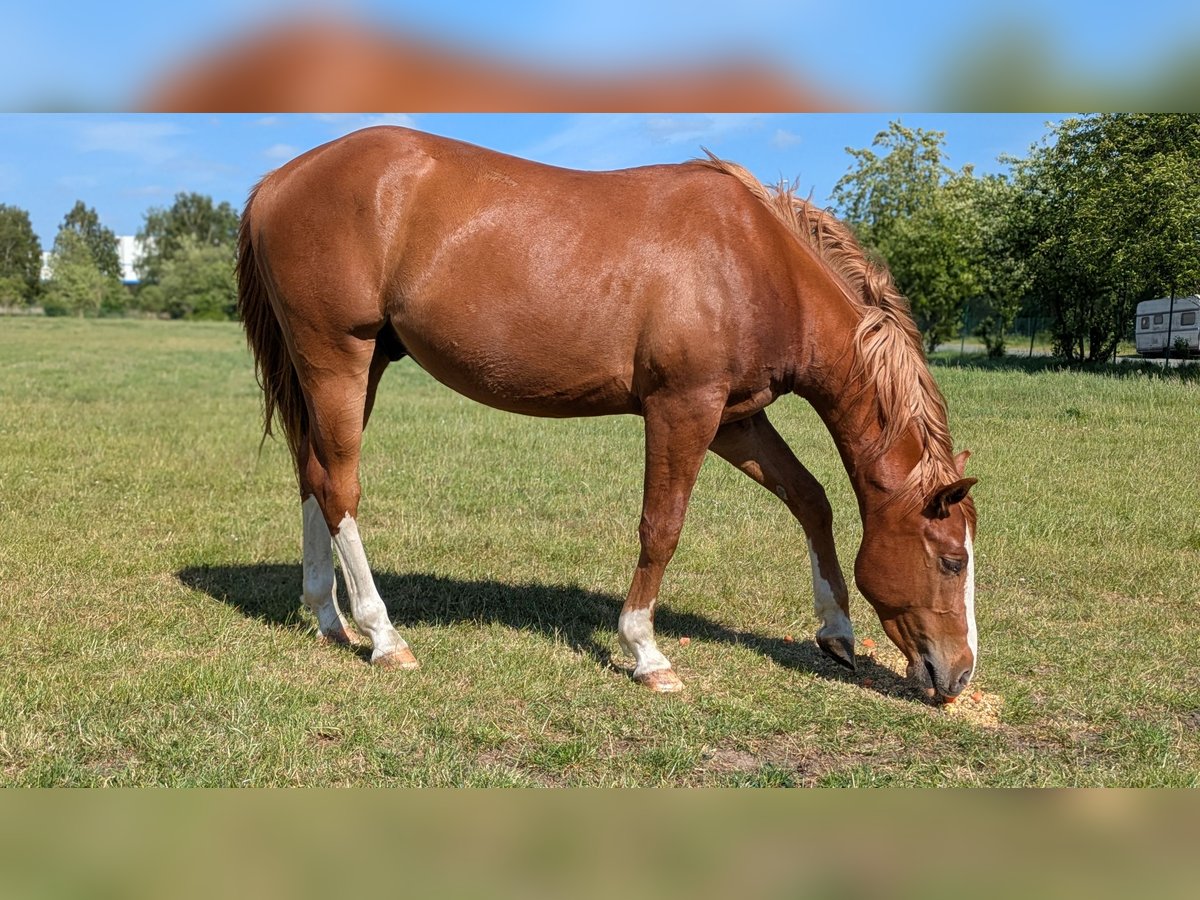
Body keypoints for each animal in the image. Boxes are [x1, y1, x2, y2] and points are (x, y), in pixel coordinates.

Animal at [237, 126, 978, 702]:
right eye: (951, 562)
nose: (959, 676)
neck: (755, 262)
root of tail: (279, 179)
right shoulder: (683, 408)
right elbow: (662, 527)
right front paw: (647, 653)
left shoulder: (735, 418)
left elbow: (811, 498)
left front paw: (836, 632)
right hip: (338, 355)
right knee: (340, 486)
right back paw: (383, 635)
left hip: (360, 365)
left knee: (313, 475)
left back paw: (328, 618)